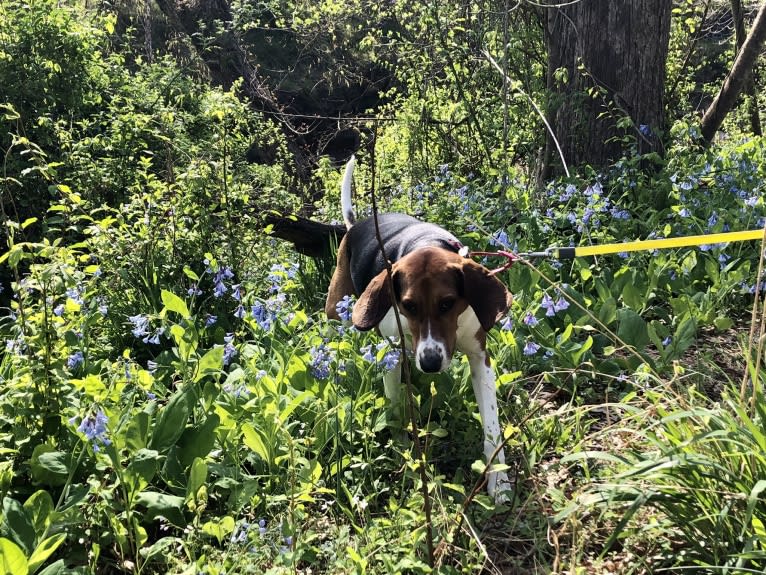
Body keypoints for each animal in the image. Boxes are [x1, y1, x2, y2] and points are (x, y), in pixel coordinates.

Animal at [326, 156, 516, 500]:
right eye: (409, 306)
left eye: (448, 303)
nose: (429, 363)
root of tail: (356, 224)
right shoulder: (392, 354)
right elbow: (396, 409)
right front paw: (405, 453)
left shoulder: (480, 358)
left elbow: (492, 429)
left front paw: (499, 483)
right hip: (336, 310)